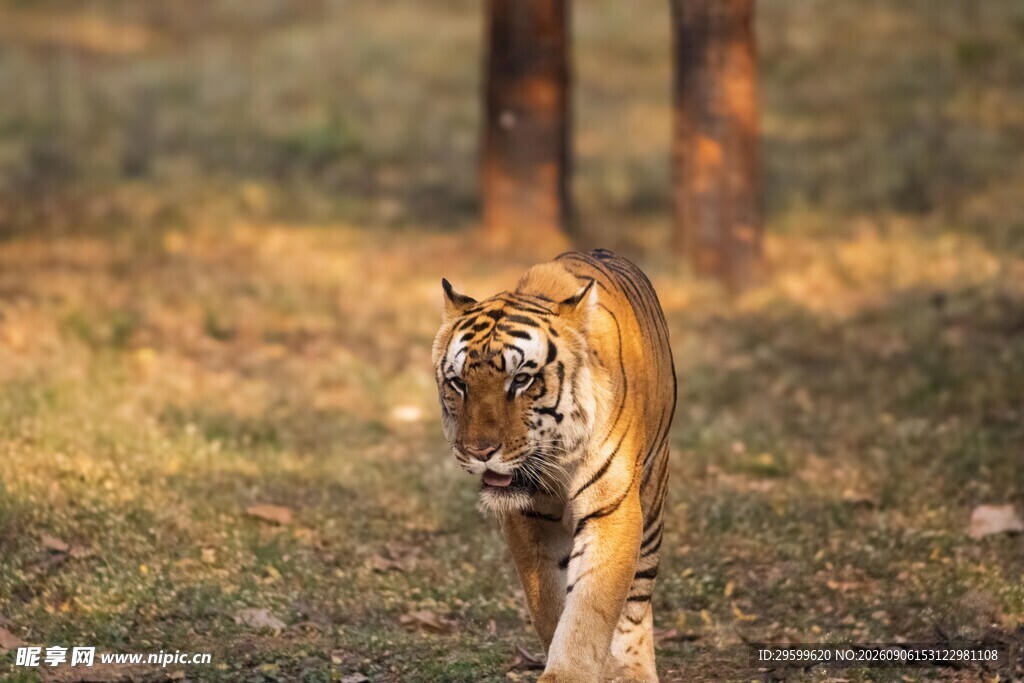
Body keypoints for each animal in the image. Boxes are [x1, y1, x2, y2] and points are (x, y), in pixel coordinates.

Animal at [432, 249, 677, 682]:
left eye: (521, 380)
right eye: (459, 383)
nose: (479, 451)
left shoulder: (611, 510)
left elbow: (590, 609)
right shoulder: (528, 520)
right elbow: (548, 601)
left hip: (652, 500)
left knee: (636, 602)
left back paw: (633, 670)